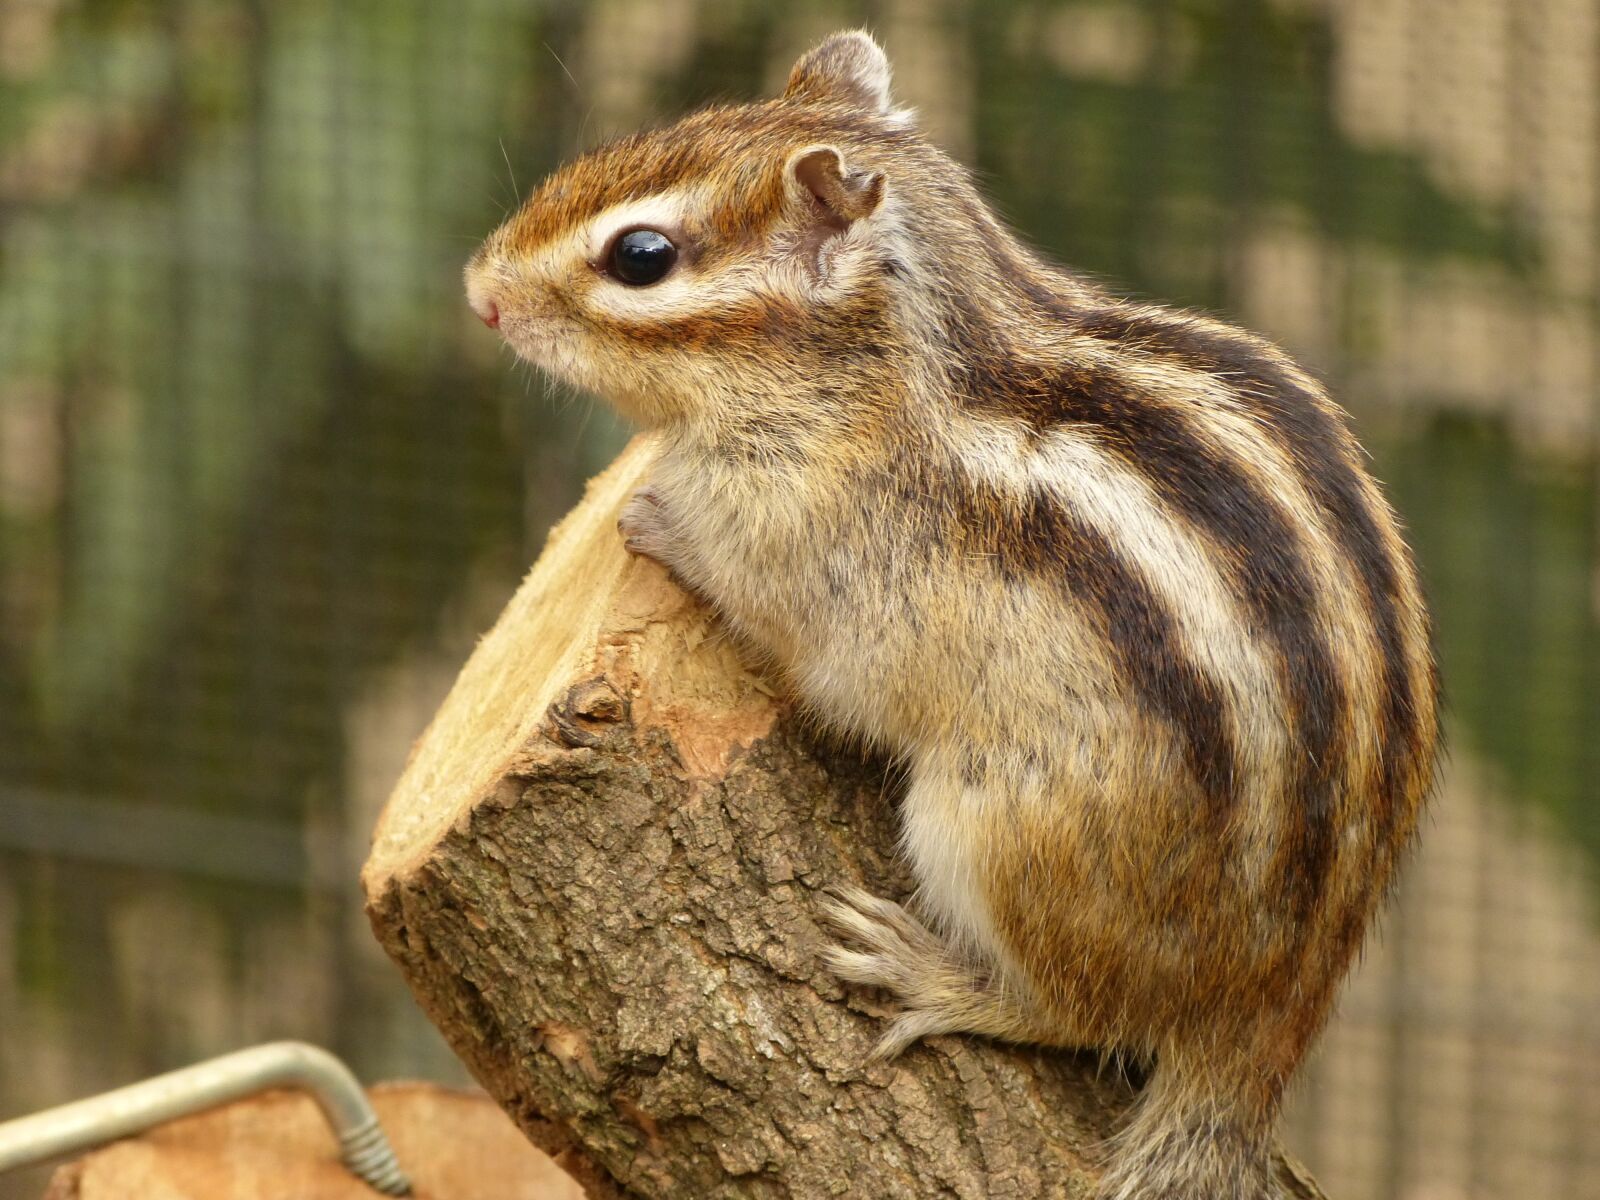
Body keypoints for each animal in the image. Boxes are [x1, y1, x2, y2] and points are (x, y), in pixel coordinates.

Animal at [466, 30, 1440, 1200]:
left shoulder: (809, 551)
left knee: (1078, 1009)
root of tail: (1279, 1002)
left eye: (641, 257)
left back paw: (933, 976)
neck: (877, 376)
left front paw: (658, 519)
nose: (478, 293)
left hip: (997, 834)